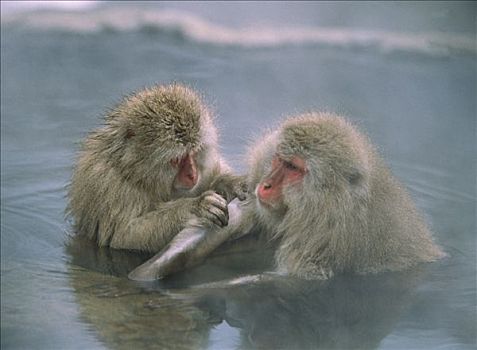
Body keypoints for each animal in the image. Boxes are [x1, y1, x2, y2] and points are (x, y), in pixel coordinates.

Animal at [67, 82, 245, 252]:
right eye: (177, 159)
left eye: (194, 152)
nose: (192, 175)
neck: (135, 172)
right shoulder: (109, 184)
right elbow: (124, 236)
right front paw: (195, 207)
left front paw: (229, 182)